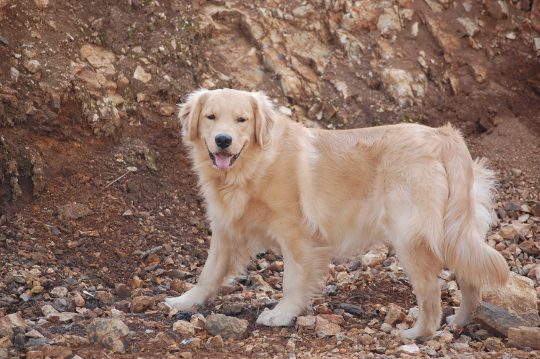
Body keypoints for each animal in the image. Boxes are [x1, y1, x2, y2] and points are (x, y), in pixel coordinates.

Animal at [166, 88, 510, 340]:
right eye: (211, 117)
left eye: (242, 120)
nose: (222, 140)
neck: (252, 167)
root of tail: (442, 135)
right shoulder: (225, 229)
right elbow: (208, 274)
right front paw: (185, 301)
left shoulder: (297, 235)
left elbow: (292, 281)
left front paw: (281, 314)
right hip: (455, 233)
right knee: (471, 282)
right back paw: (460, 321)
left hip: (410, 237)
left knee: (430, 291)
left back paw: (416, 334)